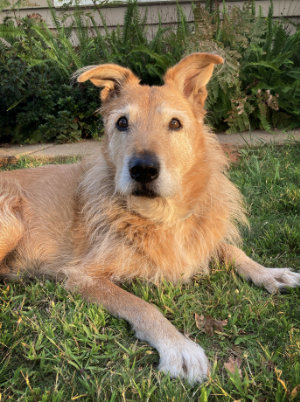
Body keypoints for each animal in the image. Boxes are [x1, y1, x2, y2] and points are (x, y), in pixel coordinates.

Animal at [0, 53, 300, 384]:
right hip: (10, 222)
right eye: (122, 122)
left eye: (175, 123)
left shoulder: (195, 240)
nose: (143, 169)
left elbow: (230, 249)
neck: (160, 216)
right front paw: (178, 346)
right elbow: (142, 305)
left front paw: (270, 273)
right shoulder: (82, 276)